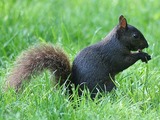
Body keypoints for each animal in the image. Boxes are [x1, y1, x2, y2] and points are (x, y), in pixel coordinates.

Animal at [5, 15, 151, 97]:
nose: (147, 45)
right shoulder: (114, 55)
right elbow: (124, 62)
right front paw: (142, 55)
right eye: (135, 36)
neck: (117, 41)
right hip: (107, 86)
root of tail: (72, 93)